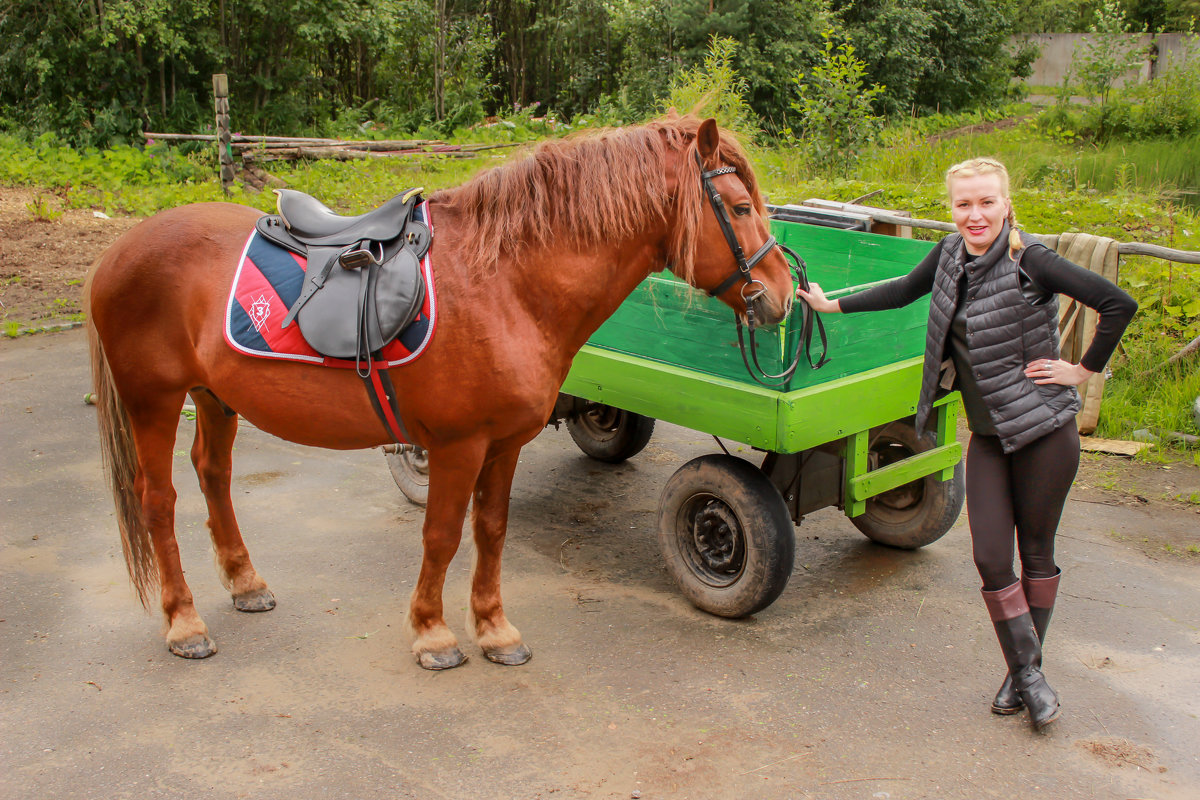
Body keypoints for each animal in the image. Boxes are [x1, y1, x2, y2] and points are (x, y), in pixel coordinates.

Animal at [87, 115, 796, 671]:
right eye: (738, 208)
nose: (785, 295)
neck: (505, 283)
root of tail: (119, 250)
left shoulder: (504, 444)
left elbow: (491, 530)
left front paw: (495, 629)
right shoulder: (458, 445)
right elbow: (442, 534)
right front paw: (433, 634)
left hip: (213, 396)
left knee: (213, 475)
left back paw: (244, 582)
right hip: (153, 401)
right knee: (158, 500)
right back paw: (184, 623)